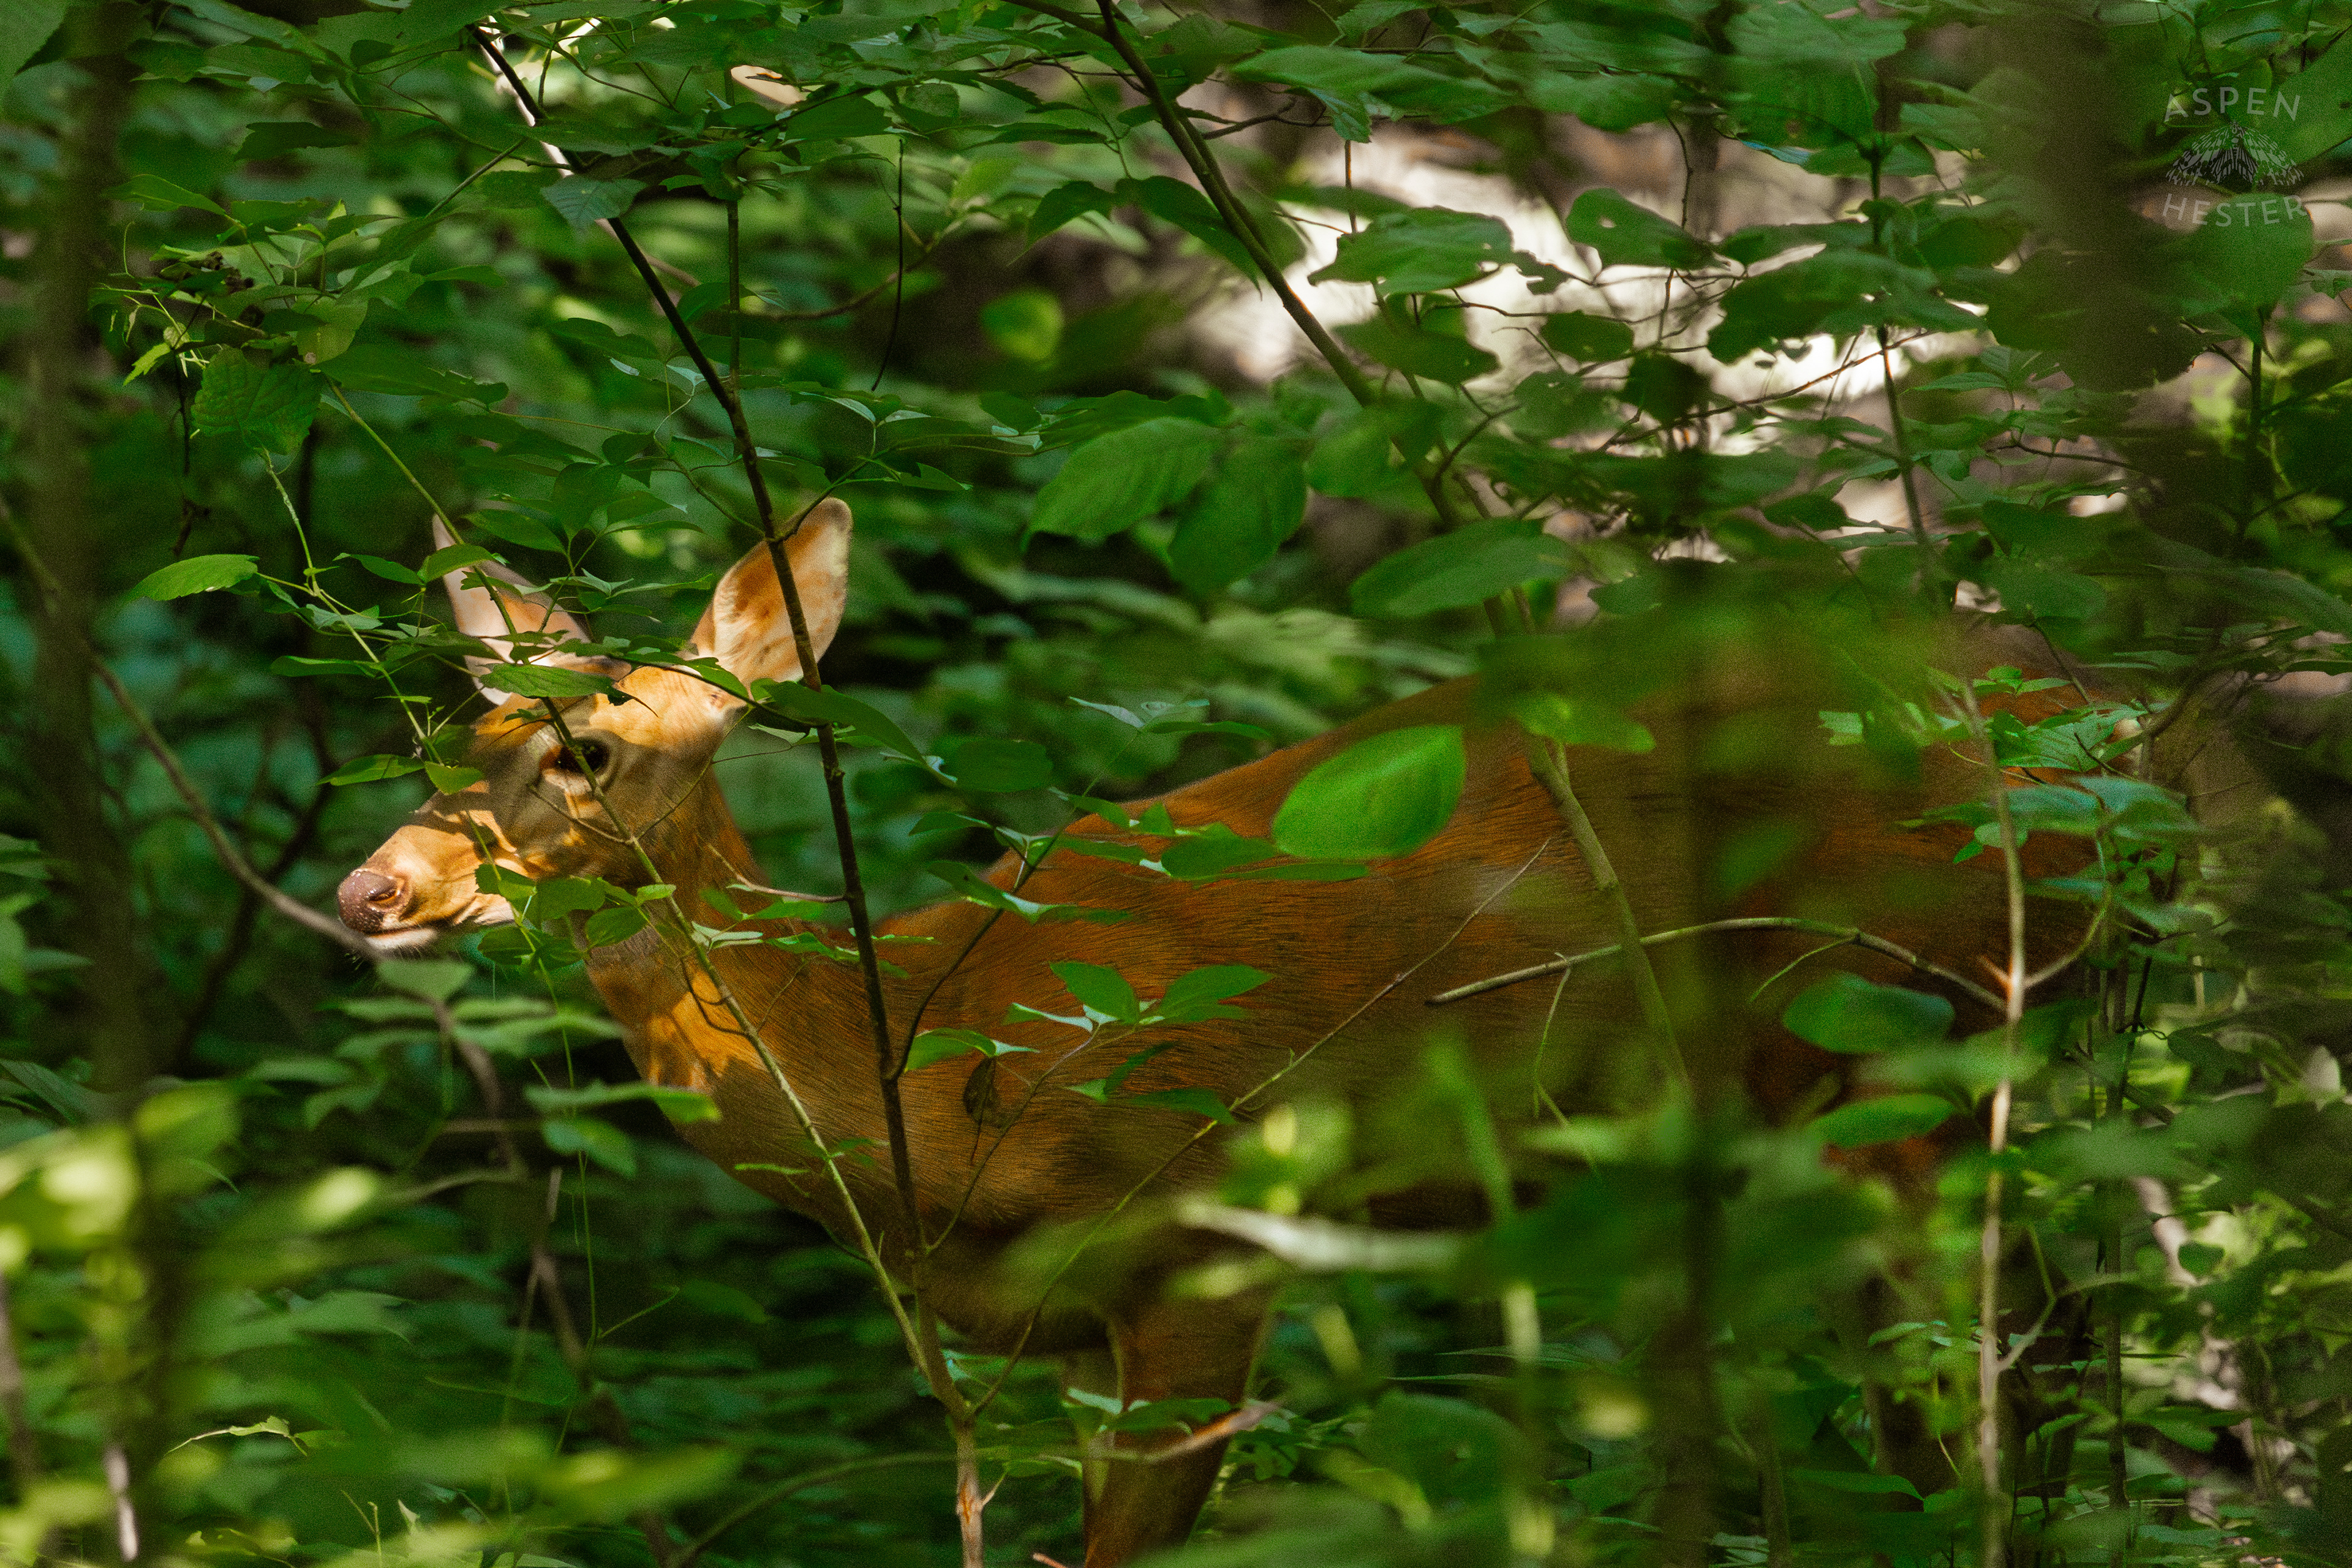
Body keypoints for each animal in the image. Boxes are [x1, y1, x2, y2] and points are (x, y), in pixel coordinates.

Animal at [336, 499, 2289, 1564]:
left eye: (590, 748)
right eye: (441, 734)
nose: (377, 884)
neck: (928, 1071)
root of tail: (2120, 733)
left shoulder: (1205, 1230)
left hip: (1906, 1020)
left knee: (1989, 1375)